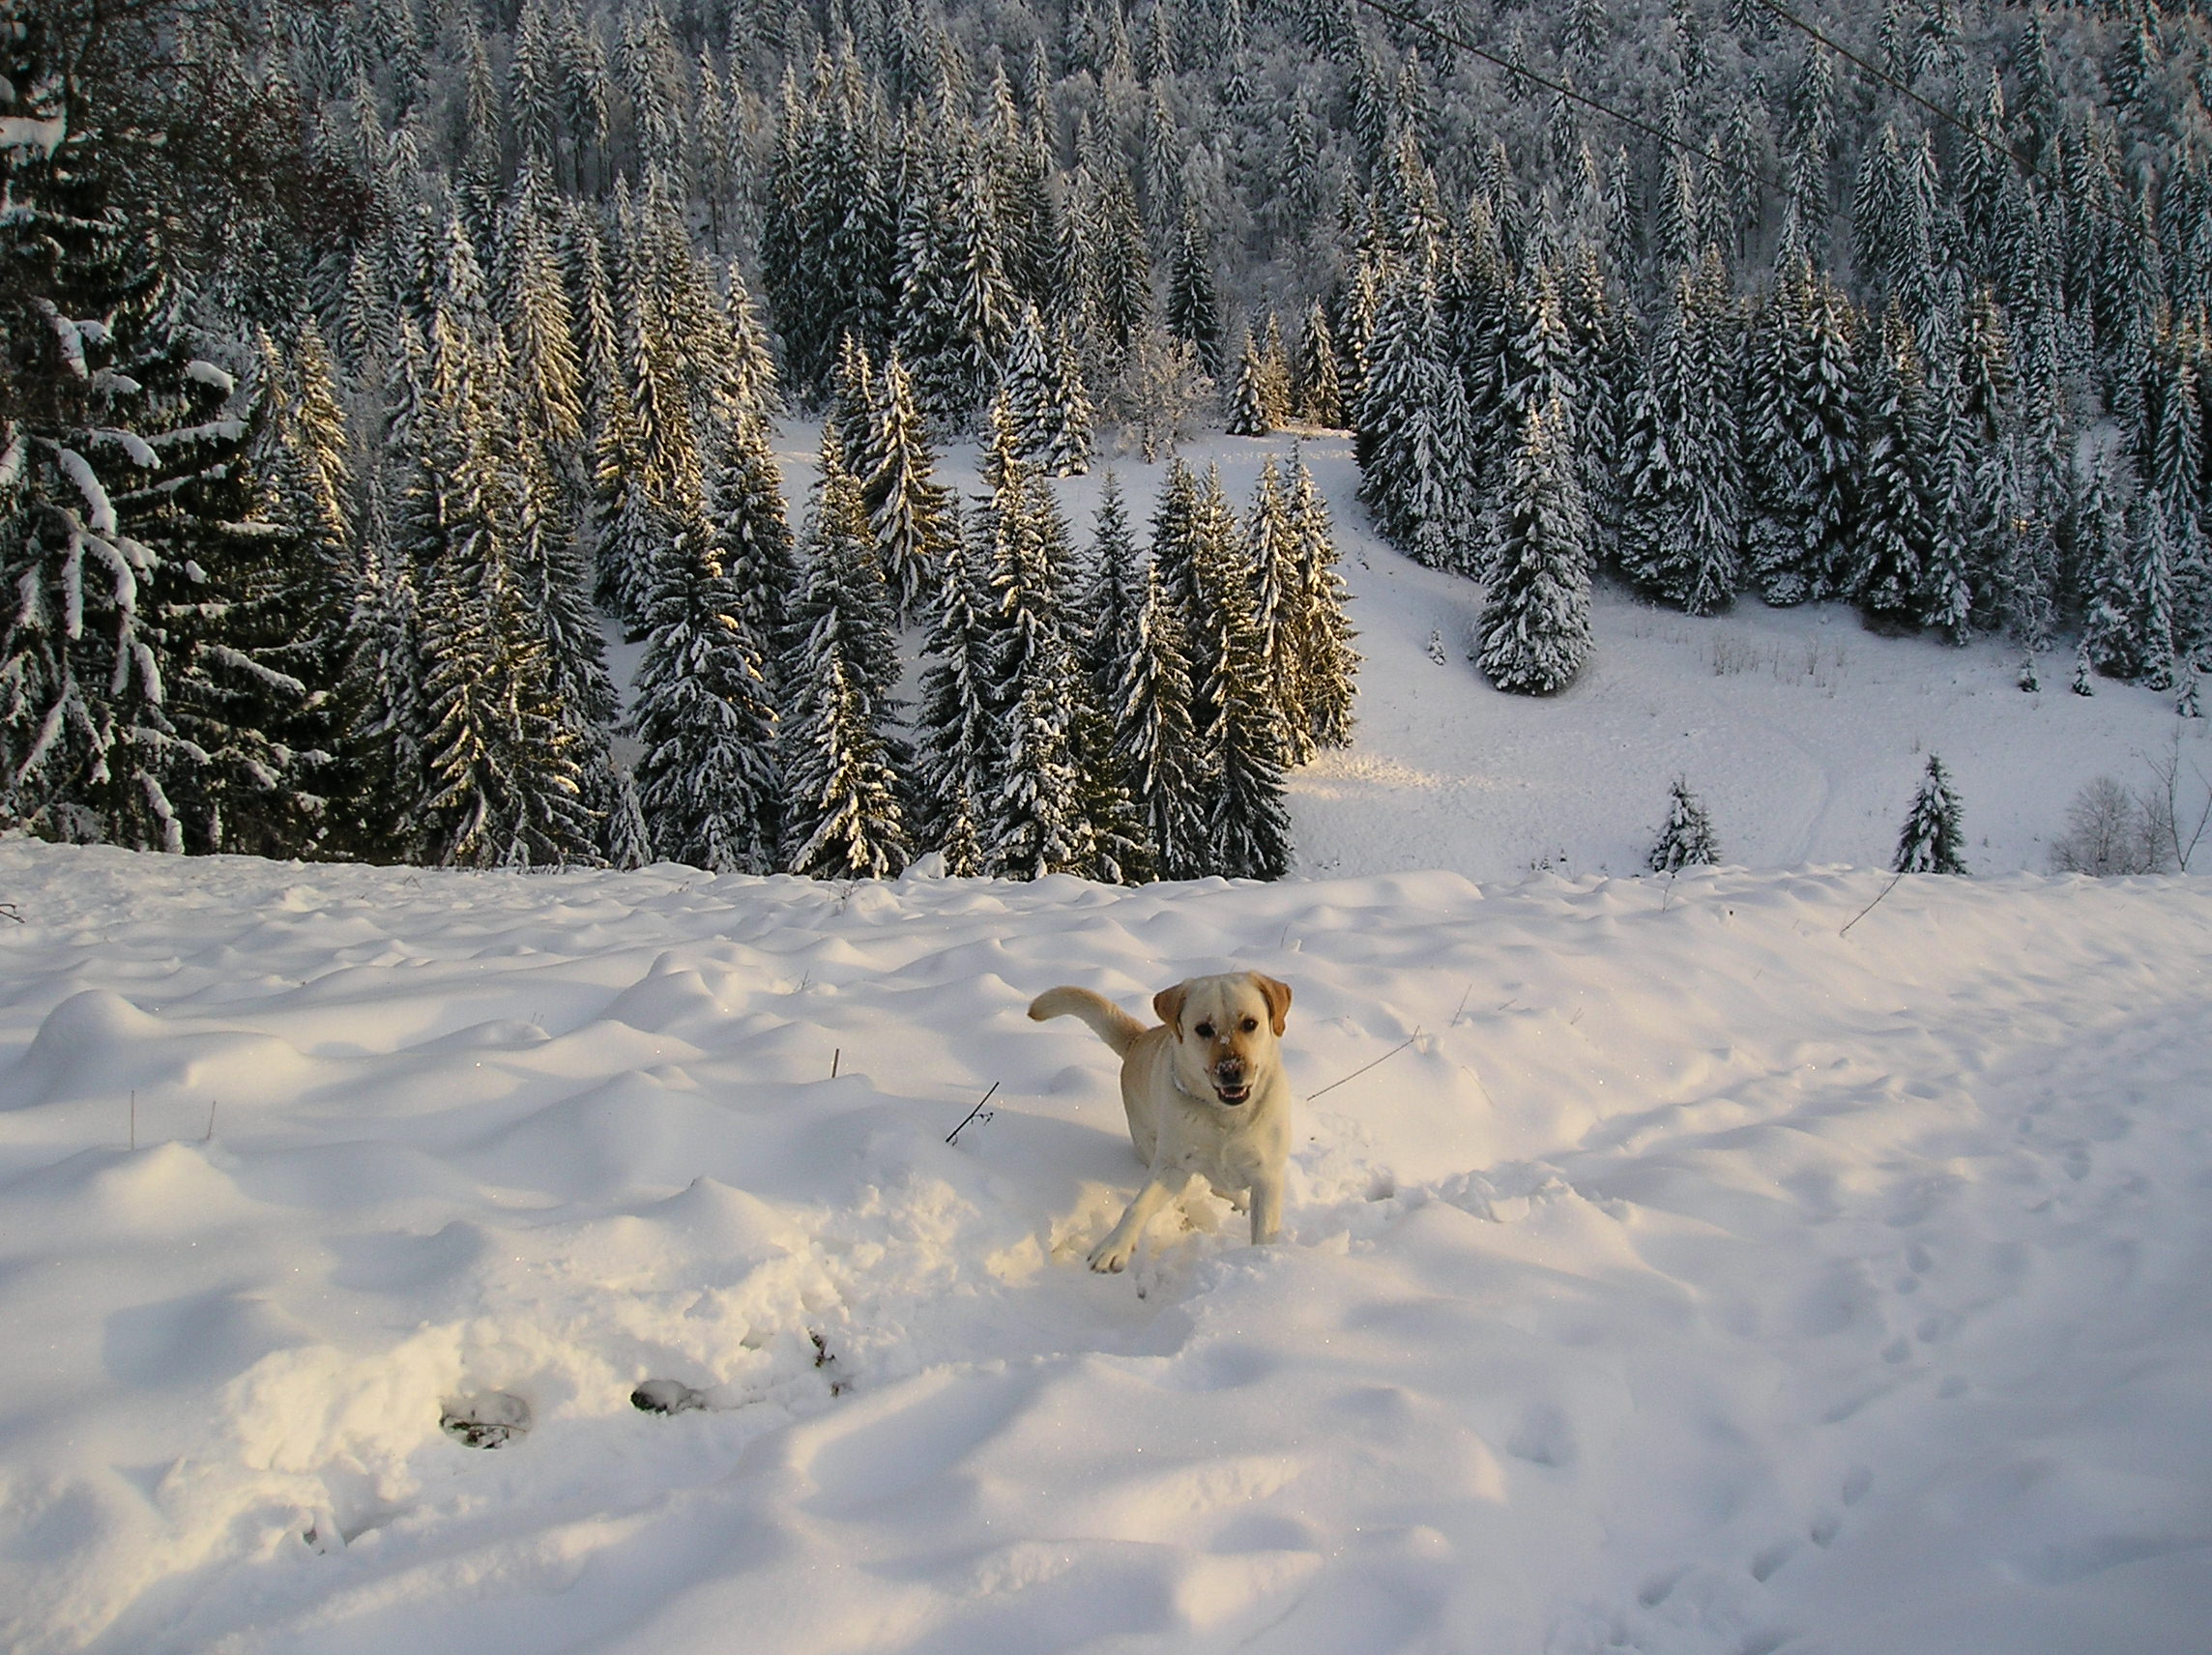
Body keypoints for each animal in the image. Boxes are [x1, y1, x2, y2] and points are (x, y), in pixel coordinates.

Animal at [1022, 977, 1292, 1274]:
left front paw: (1261, 1262)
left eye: (1250, 1024)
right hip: (1148, 1142)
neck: (1224, 1117)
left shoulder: (1267, 1175)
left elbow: (1264, 1230)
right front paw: (1113, 1246)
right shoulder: (1172, 1166)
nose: (1231, 1070)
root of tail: (1139, 1039)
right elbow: (1137, 1206)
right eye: (1203, 1029)